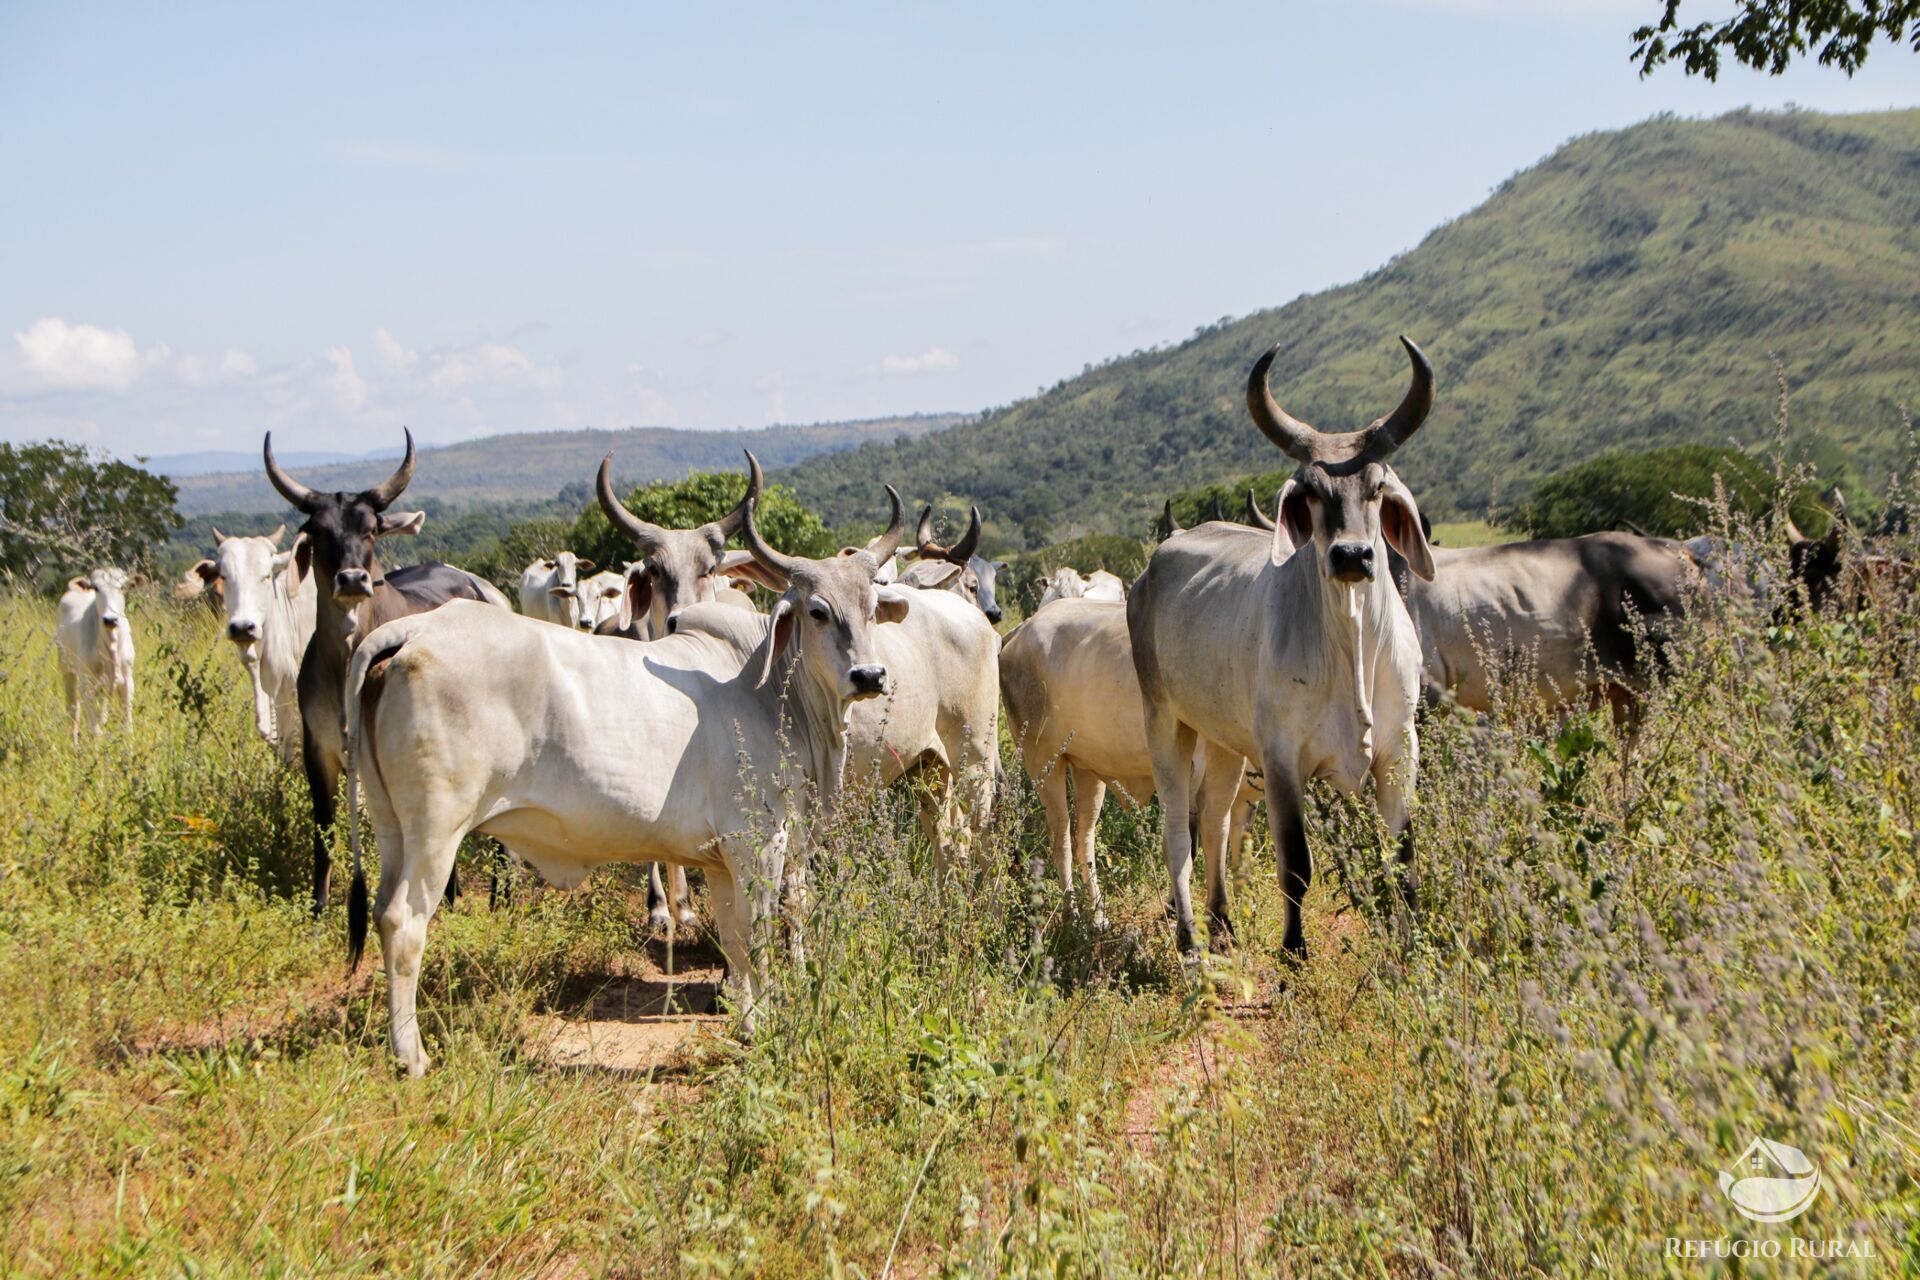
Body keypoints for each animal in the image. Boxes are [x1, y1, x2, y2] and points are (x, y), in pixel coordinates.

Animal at [54, 564, 139, 736]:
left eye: (122, 587)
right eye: (96, 588)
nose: (110, 619)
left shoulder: (128, 679)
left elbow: (127, 724)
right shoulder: (86, 682)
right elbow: (95, 729)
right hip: (67, 668)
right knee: (73, 710)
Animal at [270, 435, 514, 917]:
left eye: (370, 529)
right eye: (320, 531)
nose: (352, 579)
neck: (346, 659)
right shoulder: (317, 750)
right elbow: (324, 829)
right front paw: (318, 907)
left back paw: (501, 898)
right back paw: (450, 896)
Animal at [341, 495, 910, 1082]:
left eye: (872, 607)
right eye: (817, 611)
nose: (870, 676)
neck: (774, 689)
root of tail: (413, 634)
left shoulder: (720, 860)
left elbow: (734, 941)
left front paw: (748, 1025)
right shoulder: (759, 843)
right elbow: (758, 938)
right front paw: (770, 1024)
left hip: (390, 826)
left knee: (381, 912)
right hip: (437, 829)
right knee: (404, 922)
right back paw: (410, 1054)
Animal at [1128, 339, 1436, 959]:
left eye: (1376, 487)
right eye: (1312, 491)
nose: (1352, 555)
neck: (1351, 644)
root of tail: (1155, 564)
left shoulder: (1399, 751)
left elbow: (1402, 862)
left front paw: (1410, 948)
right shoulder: (1282, 758)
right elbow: (1296, 865)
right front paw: (1294, 953)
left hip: (1223, 740)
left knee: (1215, 819)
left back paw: (1222, 922)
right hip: (1165, 721)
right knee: (1178, 829)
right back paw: (1190, 935)